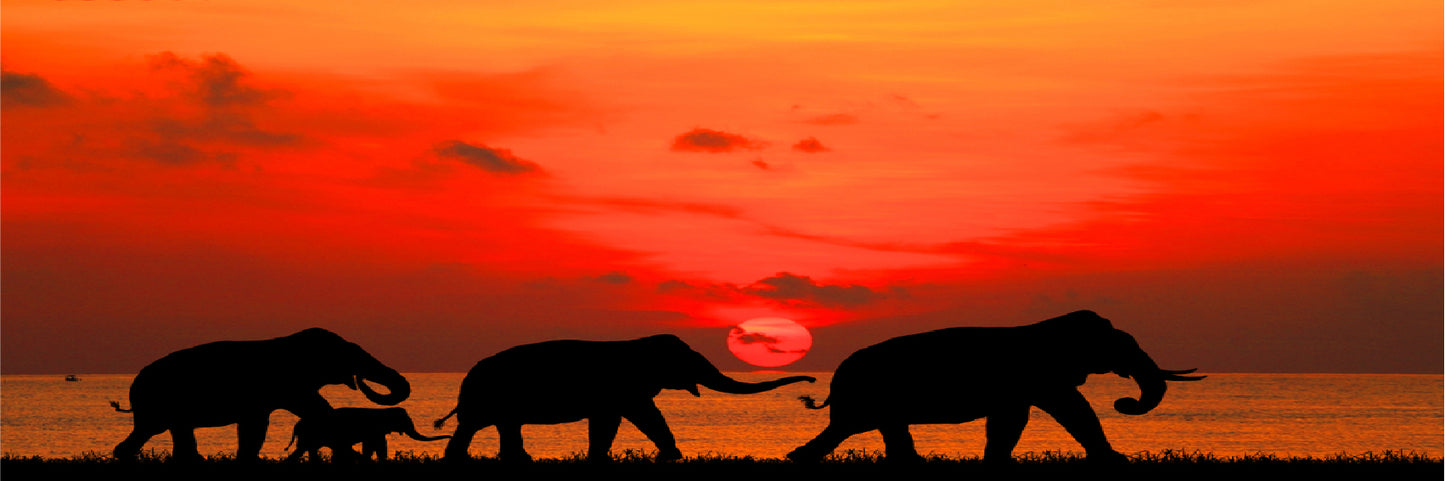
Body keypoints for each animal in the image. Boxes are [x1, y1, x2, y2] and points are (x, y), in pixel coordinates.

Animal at [111, 328, 411, 462]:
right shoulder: (287, 385)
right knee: (153, 432)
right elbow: (312, 409)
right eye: (350, 355)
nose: (361, 380)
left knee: (174, 434)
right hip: (157, 404)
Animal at [284, 407, 450, 462]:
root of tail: (296, 425)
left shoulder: (375, 431)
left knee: (305, 450)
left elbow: (374, 446)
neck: (382, 411)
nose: (448, 436)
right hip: (310, 434)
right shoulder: (374, 430)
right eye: (405, 421)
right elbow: (376, 446)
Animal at [434, 334, 816, 462]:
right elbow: (640, 415)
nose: (811, 383)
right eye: (690, 362)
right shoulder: (624, 387)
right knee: (480, 426)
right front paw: (673, 457)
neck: (638, 343)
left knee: (500, 427)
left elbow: (613, 420)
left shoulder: (617, 393)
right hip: (489, 396)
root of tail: (468, 376)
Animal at [786, 310, 1203, 464]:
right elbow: (1069, 408)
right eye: (1122, 346)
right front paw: (1116, 461)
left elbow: (1015, 419)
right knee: (851, 428)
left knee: (875, 429)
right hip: (869, 395)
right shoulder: (1039, 375)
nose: (1124, 401)